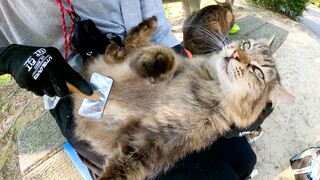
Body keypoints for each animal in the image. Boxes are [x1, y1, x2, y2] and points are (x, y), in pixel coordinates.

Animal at [71, 15, 294, 180]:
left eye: (257, 72)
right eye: (247, 46)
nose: (237, 54)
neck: (209, 85)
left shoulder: (150, 144)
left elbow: (119, 171)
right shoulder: (178, 66)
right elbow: (168, 57)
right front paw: (155, 62)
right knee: (126, 48)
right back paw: (144, 30)